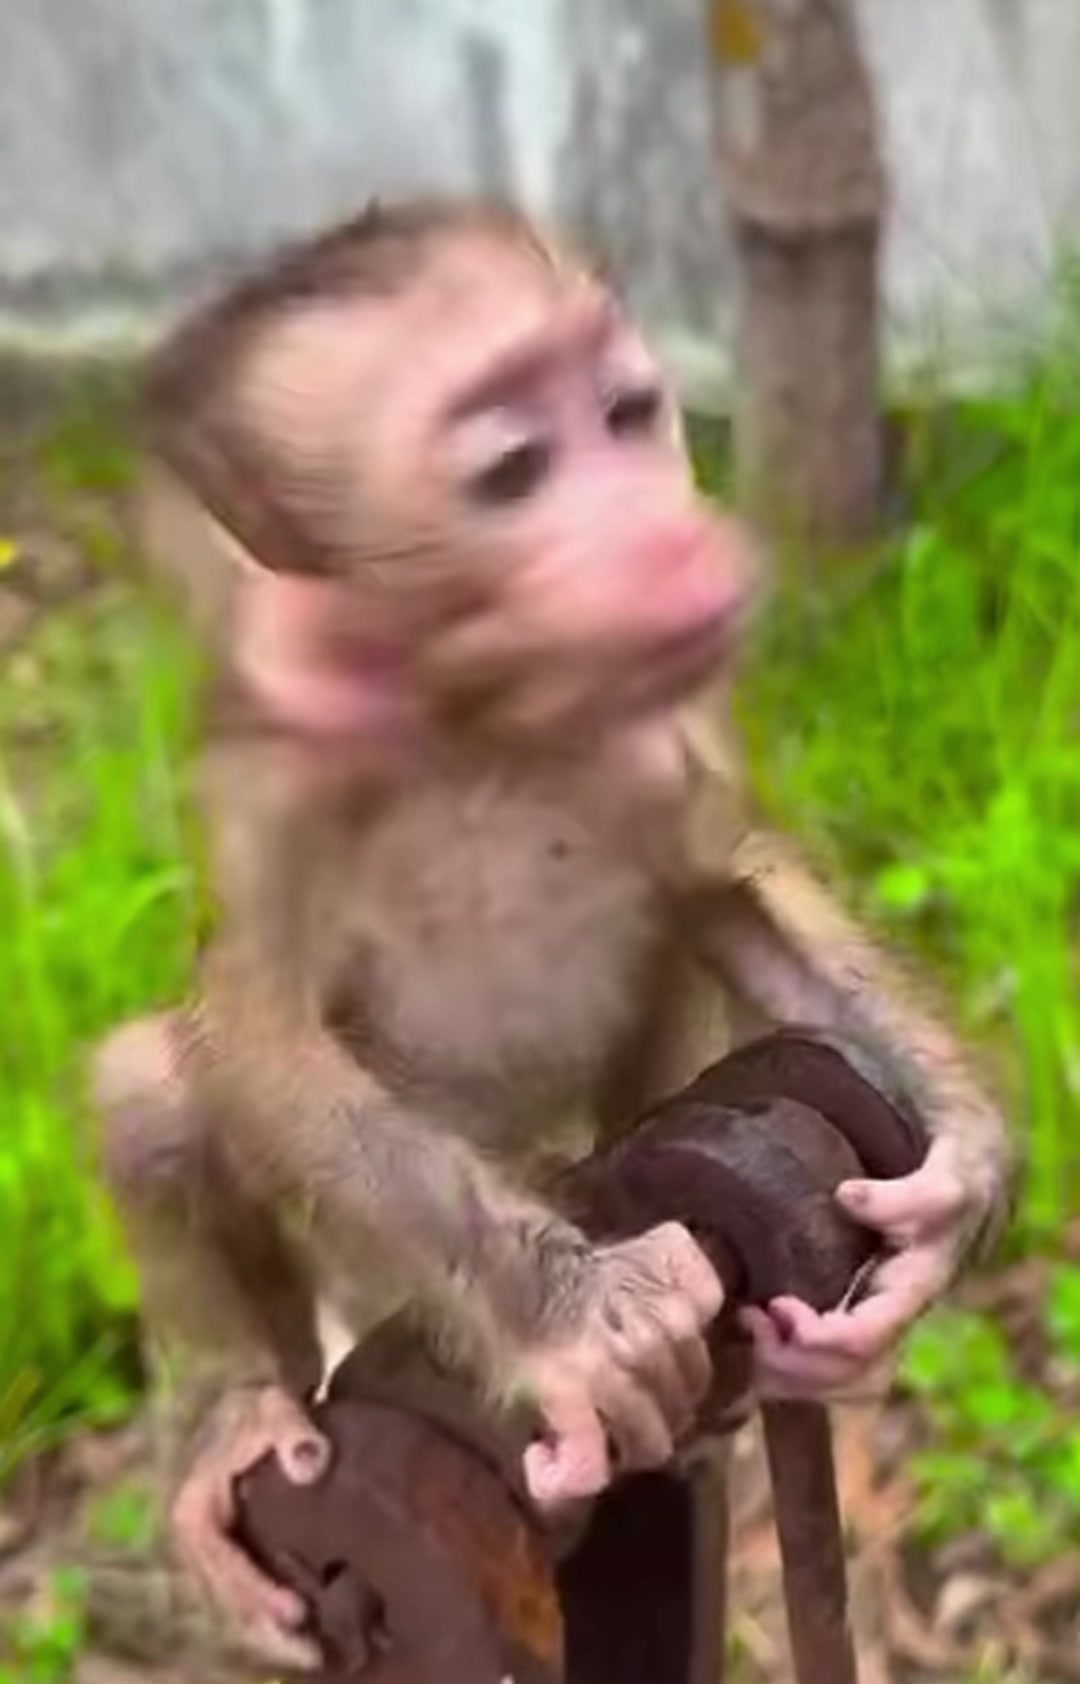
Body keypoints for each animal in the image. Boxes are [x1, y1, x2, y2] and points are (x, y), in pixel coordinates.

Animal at [94, 196, 1011, 1672]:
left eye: (629, 412)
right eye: (514, 471)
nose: (671, 532)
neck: (482, 717)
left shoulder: (664, 724)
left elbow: (721, 882)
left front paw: (959, 1167)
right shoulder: (279, 784)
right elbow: (256, 1033)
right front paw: (585, 1321)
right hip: (363, 1284)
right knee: (151, 1086)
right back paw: (244, 1410)